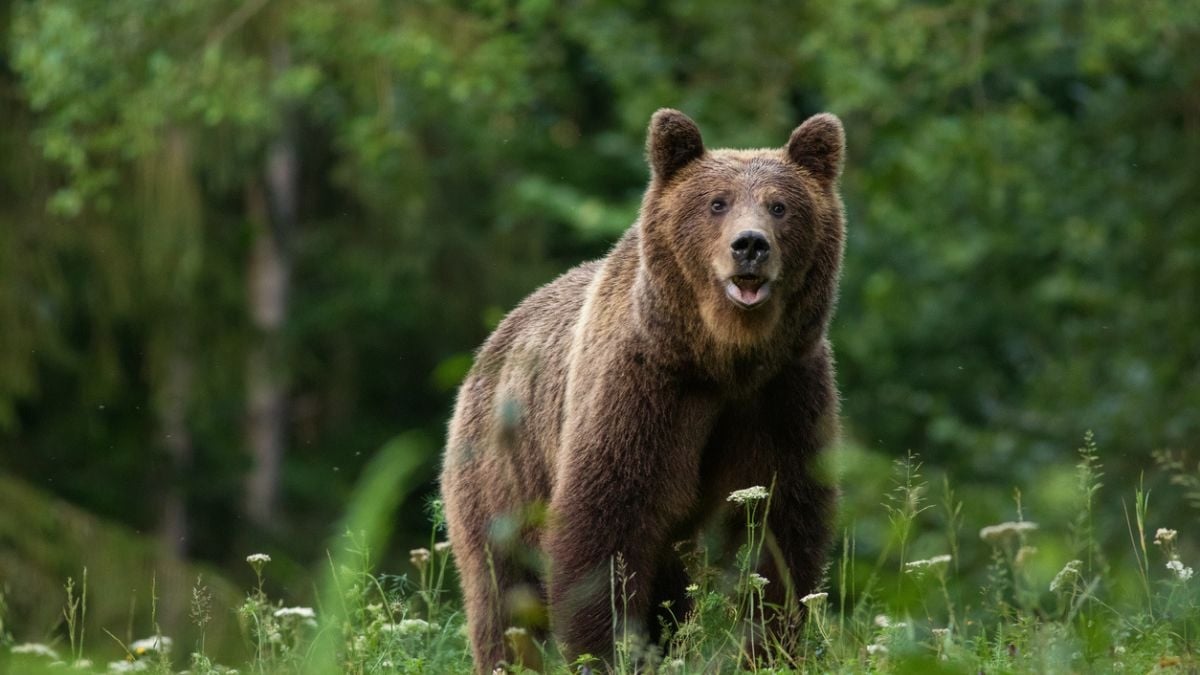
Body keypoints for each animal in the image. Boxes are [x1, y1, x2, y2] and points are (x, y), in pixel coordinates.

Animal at [441, 107, 844, 667]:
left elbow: (780, 527)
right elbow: (607, 524)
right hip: (501, 471)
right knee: (503, 590)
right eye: (716, 203)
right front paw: (606, 650)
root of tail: (492, 343)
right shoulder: (644, 389)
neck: (723, 358)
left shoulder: (782, 393)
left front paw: (769, 649)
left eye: (780, 206)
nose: (750, 245)